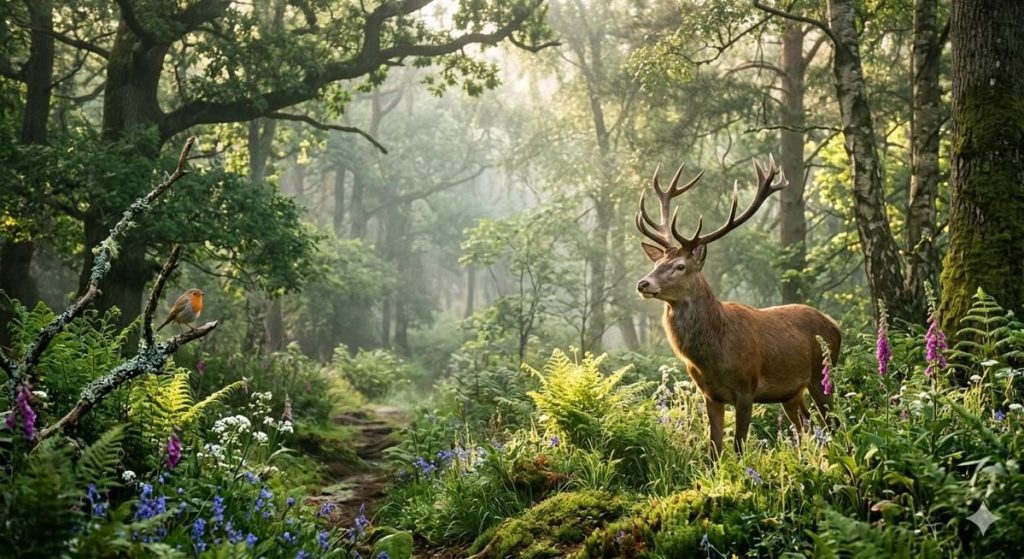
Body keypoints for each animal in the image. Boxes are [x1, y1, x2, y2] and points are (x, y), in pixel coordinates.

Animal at [634, 156, 841, 459]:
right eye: (657, 263)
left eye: (680, 266)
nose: (643, 283)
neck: (712, 354)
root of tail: (836, 325)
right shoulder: (710, 394)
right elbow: (714, 448)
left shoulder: (747, 388)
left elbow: (739, 446)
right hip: (791, 393)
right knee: (807, 427)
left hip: (821, 375)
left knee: (833, 424)